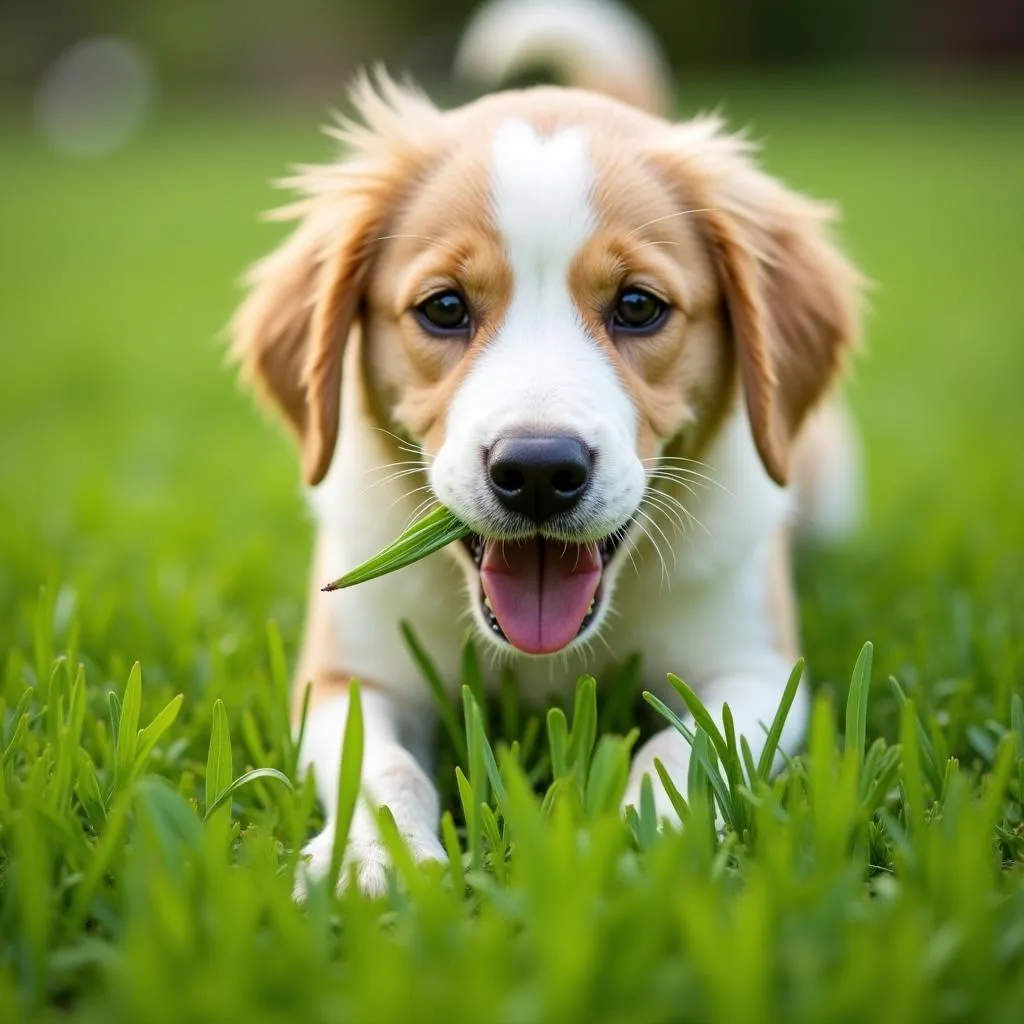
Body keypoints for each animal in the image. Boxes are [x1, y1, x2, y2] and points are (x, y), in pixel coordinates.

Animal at [230, 0, 864, 897]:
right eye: (444, 307)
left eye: (638, 305)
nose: (536, 472)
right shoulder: (347, 676)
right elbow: (378, 765)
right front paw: (372, 858)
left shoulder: (757, 672)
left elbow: (679, 752)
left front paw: (642, 841)